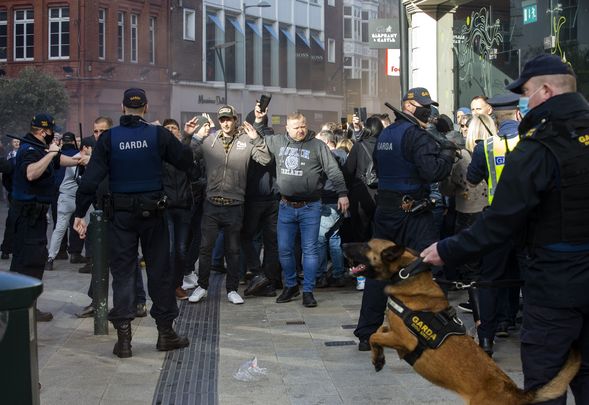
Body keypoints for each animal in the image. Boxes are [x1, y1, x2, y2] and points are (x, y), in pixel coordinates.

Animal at [342, 238, 580, 402]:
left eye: (364, 245)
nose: (343, 243)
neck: (406, 274)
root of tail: (516, 393)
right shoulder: (393, 333)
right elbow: (379, 330)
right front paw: (378, 358)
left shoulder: (404, 340)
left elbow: (375, 335)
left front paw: (377, 355)